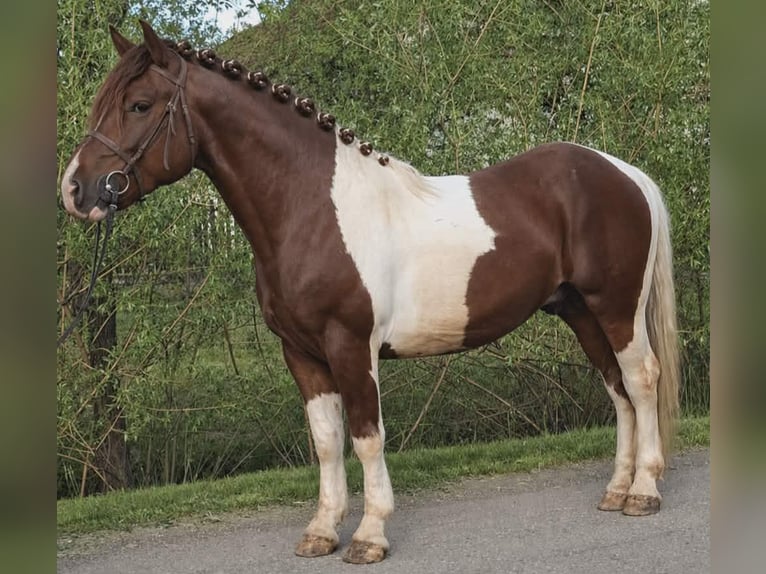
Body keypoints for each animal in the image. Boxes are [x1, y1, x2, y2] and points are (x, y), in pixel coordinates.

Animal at [59, 20, 680, 564]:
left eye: (140, 105)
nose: (76, 190)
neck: (310, 208)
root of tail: (624, 173)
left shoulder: (351, 346)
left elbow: (365, 438)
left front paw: (369, 535)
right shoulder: (302, 354)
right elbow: (326, 441)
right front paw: (321, 531)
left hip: (615, 308)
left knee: (642, 380)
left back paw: (644, 492)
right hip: (580, 311)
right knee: (617, 388)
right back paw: (616, 490)